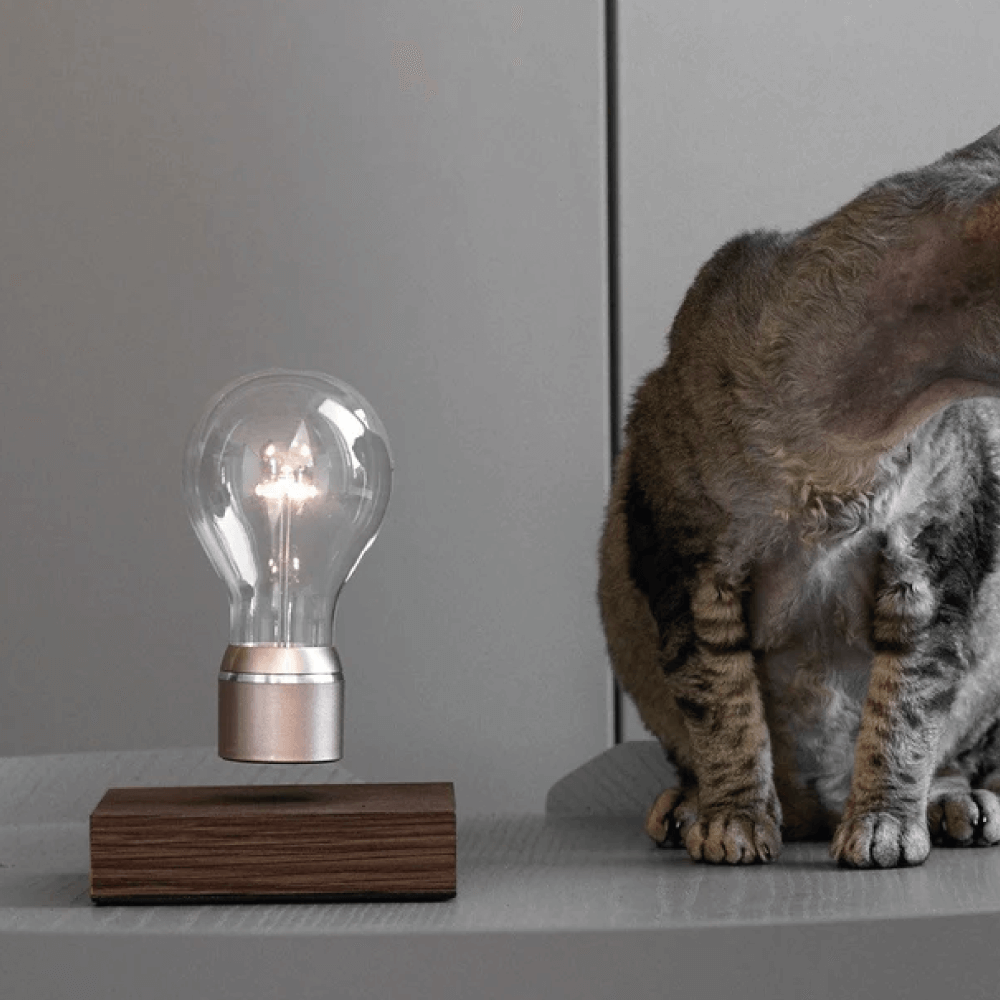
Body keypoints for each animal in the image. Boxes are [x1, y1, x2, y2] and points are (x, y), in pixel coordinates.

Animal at [596, 125, 1000, 868]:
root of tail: (819, 805)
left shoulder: (933, 567)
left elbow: (904, 717)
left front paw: (884, 826)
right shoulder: (688, 567)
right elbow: (724, 710)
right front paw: (733, 822)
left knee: (956, 749)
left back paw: (954, 803)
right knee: (693, 745)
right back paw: (688, 808)